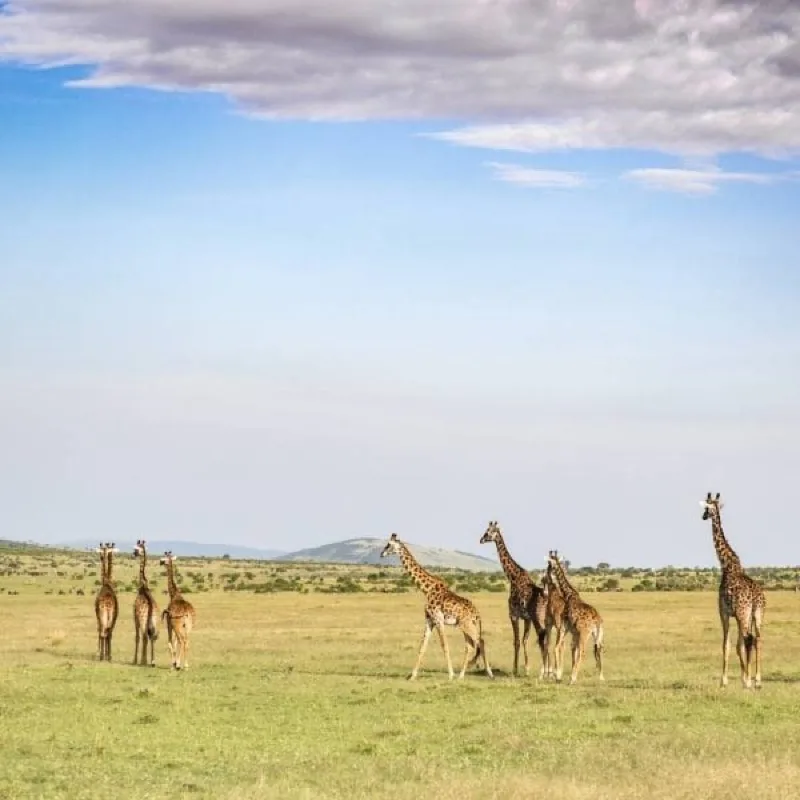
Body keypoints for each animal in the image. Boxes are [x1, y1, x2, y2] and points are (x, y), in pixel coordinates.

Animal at [380, 533, 493, 681]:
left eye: (389, 544)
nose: (382, 553)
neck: (426, 589)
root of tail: (477, 613)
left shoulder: (438, 620)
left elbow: (444, 645)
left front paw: (450, 674)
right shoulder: (429, 620)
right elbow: (422, 647)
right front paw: (412, 676)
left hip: (466, 625)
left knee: (481, 641)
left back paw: (489, 674)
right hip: (464, 625)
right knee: (470, 645)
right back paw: (461, 675)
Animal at [479, 520, 548, 677]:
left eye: (490, 531)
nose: (481, 539)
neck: (513, 576)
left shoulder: (513, 614)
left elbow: (516, 641)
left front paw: (515, 669)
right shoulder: (527, 618)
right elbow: (524, 640)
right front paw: (526, 668)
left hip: (538, 618)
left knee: (543, 639)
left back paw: (546, 670)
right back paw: (549, 670)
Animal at [546, 550, 604, 684]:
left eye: (550, 564)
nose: (547, 572)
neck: (568, 594)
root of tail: (597, 621)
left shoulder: (565, 626)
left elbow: (566, 649)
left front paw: (562, 675)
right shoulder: (574, 631)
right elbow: (573, 650)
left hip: (584, 633)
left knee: (582, 651)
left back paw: (572, 679)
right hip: (596, 635)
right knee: (598, 650)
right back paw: (601, 677)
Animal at [700, 491, 765, 689]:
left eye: (707, 508)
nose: (703, 516)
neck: (727, 565)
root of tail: (757, 597)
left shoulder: (724, 611)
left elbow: (727, 644)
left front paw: (725, 680)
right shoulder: (740, 615)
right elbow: (738, 645)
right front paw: (744, 676)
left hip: (744, 613)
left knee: (750, 638)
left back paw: (750, 682)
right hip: (757, 613)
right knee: (757, 638)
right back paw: (757, 680)